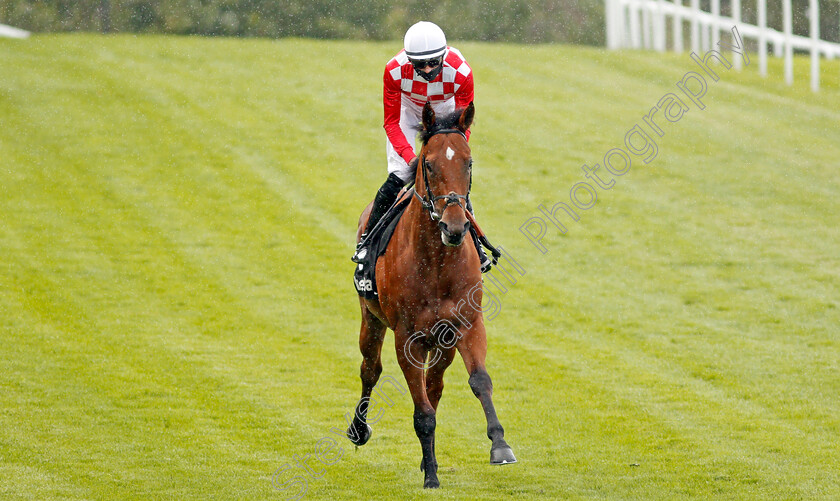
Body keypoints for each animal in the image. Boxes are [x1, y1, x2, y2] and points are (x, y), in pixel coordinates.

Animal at [344, 101, 516, 488]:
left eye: (468, 162)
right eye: (429, 164)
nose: (454, 226)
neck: (436, 262)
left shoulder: (467, 325)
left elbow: (479, 381)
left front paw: (499, 445)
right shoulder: (407, 338)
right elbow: (421, 410)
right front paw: (432, 478)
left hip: (443, 341)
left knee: (434, 385)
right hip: (371, 318)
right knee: (370, 369)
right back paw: (359, 429)